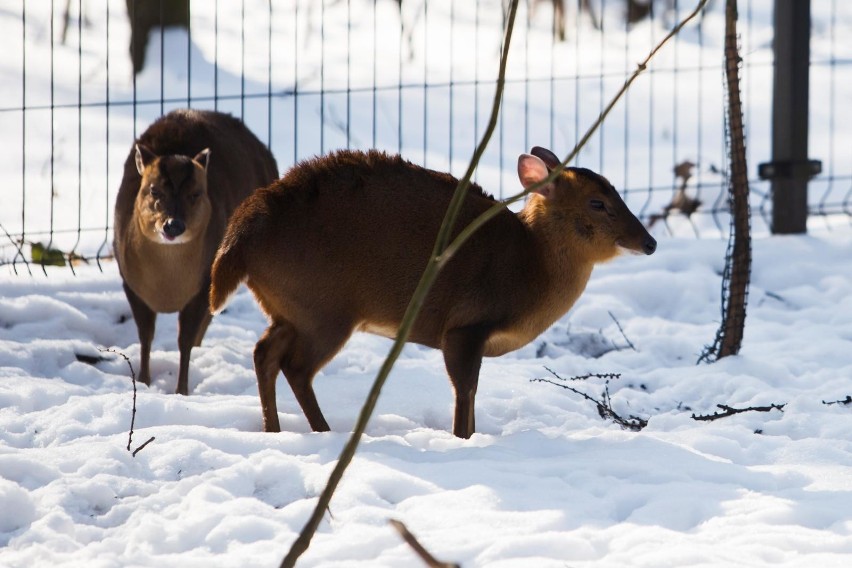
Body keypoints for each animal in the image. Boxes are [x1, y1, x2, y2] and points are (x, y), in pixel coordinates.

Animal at [113, 110, 278, 394]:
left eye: (196, 193)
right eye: (153, 189)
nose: (173, 225)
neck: (167, 288)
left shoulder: (204, 283)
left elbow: (185, 340)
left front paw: (182, 390)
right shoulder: (129, 281)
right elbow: (145, 336)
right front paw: (144, 381)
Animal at [210, 148, 656, 440]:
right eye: (597, 202)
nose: (649, 242)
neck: (530, 263)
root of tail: (238, 238)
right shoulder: (465, 325)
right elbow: (465, 389)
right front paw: (464, 438)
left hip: (289, 307)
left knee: (264, 353)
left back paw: (274, 431)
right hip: (324, 309)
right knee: (296, 367)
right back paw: (325, 432)